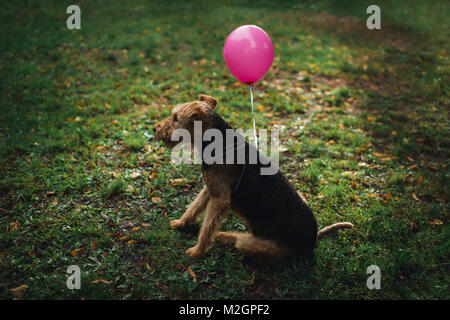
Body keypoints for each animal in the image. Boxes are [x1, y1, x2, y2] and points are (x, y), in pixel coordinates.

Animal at [153, 94, 354, 264]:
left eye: (175, 117)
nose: (154, 128)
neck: (219, 144)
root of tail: (313, 240)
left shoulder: (219, 199)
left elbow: (206, 229)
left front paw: (197, 251)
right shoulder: (210, 189)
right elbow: (193, 209)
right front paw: (180, 223)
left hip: (265, 246)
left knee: (247, 243)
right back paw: (222, 235)